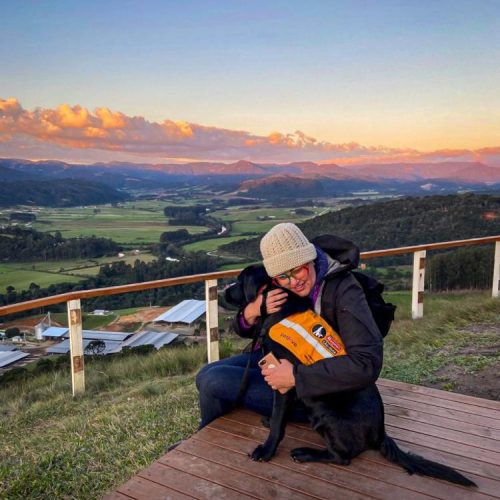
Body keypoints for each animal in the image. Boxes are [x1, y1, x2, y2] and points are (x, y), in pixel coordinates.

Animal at [227, 264, 476, 486]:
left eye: (239, 281)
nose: (223, 293)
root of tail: (381, 433)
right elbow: (279, 415)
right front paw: (270, 421)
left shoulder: (283, 378)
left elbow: (279, 422)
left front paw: (266, 450)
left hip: (327, 413)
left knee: (342, 457)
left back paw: (306, 453)